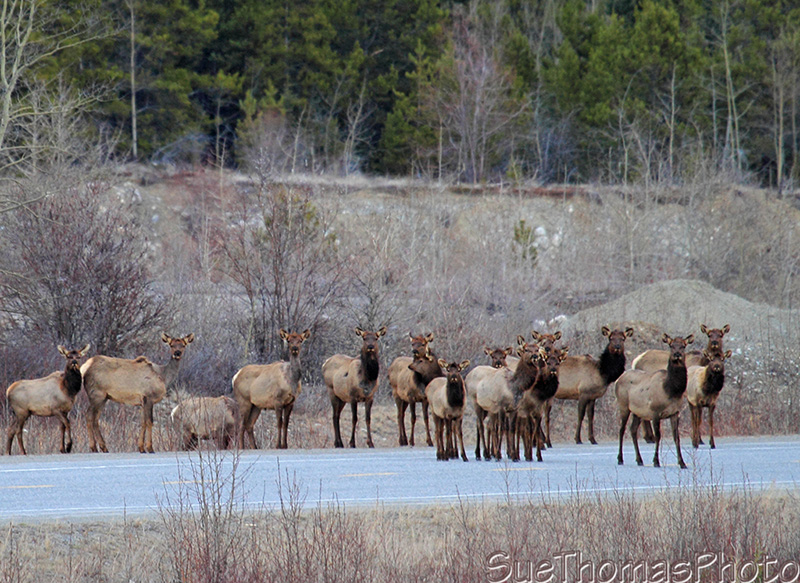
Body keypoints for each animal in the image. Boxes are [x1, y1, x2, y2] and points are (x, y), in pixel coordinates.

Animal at [615, 333, 694, 469]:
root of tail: (617, 380)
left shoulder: (675, 413)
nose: (677, 354)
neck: (671, 390)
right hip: (623, 406)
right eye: (671, 345)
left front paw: (682, 462)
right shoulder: (655, 412)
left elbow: (676, 437)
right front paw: (656, 461)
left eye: (683, 346)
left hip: (637, 412)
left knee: (633, 430)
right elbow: (658, 436)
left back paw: (639, 460)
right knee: (621, 430)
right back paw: (620, 459)